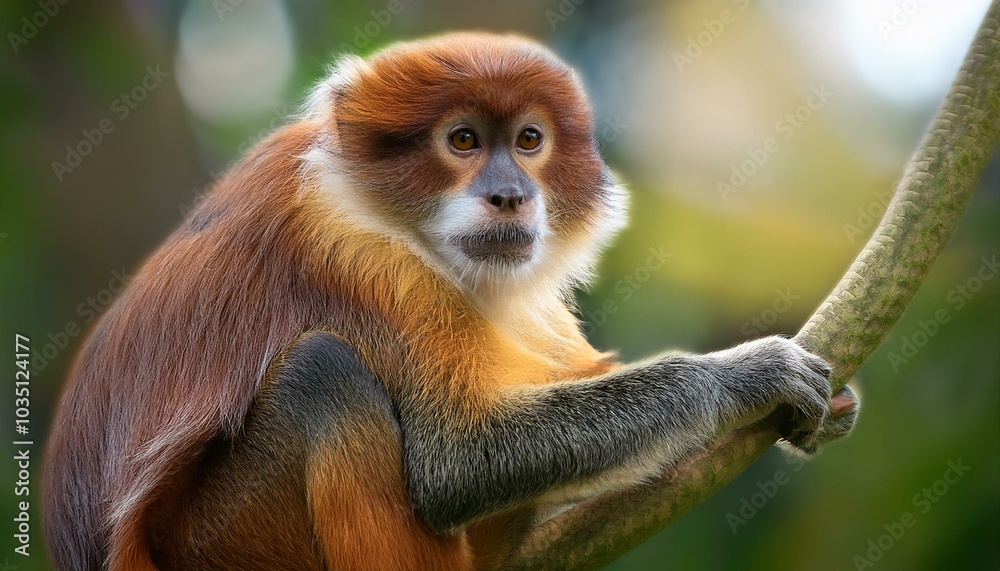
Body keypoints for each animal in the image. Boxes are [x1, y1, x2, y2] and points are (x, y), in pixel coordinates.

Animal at [42, 32, 857, 571]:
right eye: (462, 140)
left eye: (528, 140)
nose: (509, 194)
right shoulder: (360, 257)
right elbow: (455, 465)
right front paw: (747, 375)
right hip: (222, 542)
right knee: (322, 377)